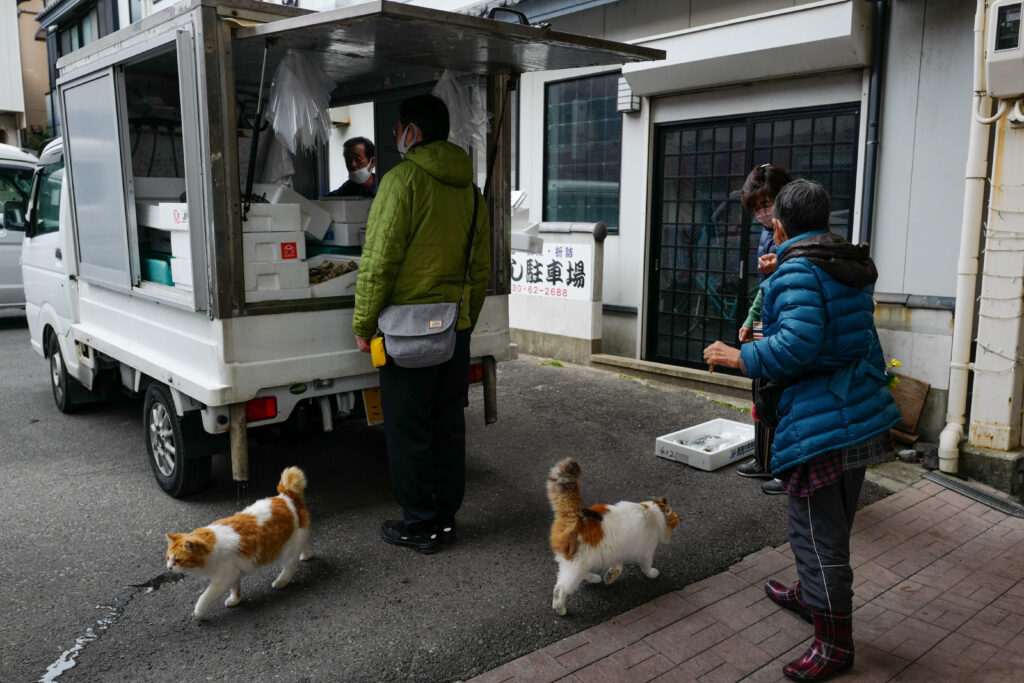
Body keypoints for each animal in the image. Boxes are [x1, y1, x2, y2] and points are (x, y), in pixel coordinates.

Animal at [163, 464, 311, 618]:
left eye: (178, 560)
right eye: (168, 558)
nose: (169, 567)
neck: (211, 548)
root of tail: (286, 496)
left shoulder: (223, 578)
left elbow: (205, 596)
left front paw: (199, 611)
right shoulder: (233, 574)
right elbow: (235, 589)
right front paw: (235, 600)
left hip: (288, 551)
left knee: (290, 567)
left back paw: (280, 582)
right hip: (295, 538)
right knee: (304, 543)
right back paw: (306, 555)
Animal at [544, 458, 679, 614]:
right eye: (674, 524)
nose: (669, 539)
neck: (652, 512)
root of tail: (576, 518)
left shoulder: (618, 551)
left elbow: (618, 567)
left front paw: (610, 577)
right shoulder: (646, 552)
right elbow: (646, 566)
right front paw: (651, 573)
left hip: (580, 563)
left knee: (579, 576)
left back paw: (594, 579)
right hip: (577, 565)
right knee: (560, 588)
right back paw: (560, 609)